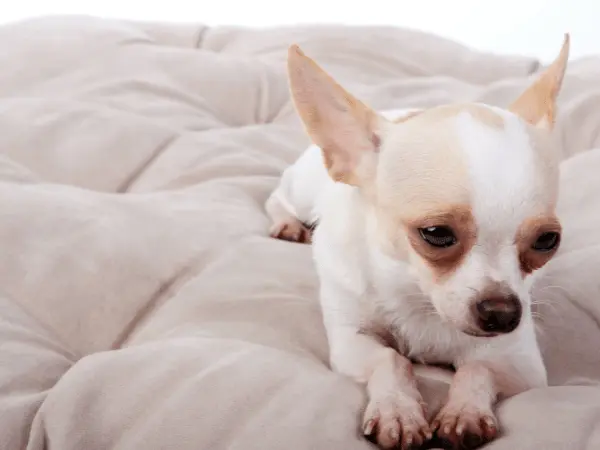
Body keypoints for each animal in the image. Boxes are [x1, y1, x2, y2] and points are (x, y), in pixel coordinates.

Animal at [268, 33, 572, 448]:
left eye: (547, 241)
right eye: (436, 234)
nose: (502, 313)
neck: (419, 297)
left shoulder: (521, 364)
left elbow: (478, 368)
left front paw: (465, 411)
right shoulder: (351, 340)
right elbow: (391, 359)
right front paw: (398, 410)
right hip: (302, 188)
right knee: (277, 195)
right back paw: (285, 222)